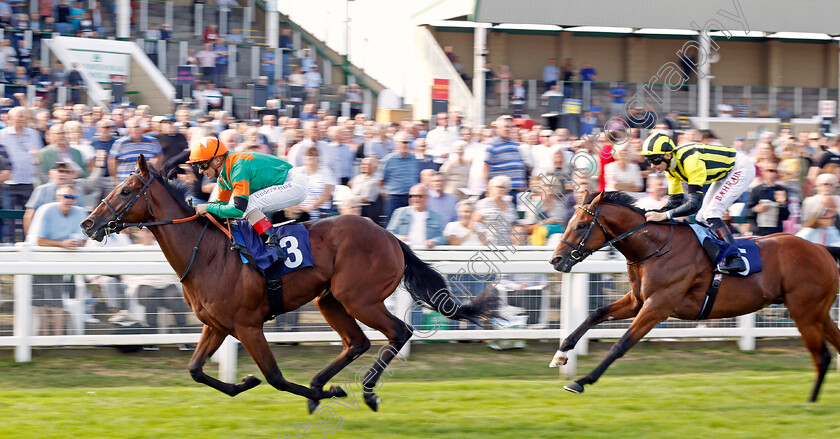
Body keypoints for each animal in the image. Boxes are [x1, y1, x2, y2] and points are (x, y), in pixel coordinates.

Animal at [77, 157, 498, 412]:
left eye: (126, 191)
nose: (88, 223)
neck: (208, 253)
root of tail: (390, 236)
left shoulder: (248, 325)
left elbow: (276, 378)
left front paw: (317, 392)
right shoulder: (216, 325)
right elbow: (196, 370)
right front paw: (247, 382)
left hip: (359, 298)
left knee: (399, 331)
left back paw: (365, 390)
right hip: (331, 300)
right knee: (357, 342)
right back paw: (324, 382)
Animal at [548, 190, 840, 402]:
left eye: (581, 225)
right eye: (570, 222)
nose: (556, 260)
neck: (655, 248)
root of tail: (821, 248)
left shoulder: (658, 306)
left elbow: (621, 344)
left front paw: (580, 381)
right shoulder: (637, 301)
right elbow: (595, 314)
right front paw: (561, 354)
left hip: (805, 313)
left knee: (821, 356)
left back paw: (810, 403)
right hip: (817, 314)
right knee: (830, 351)